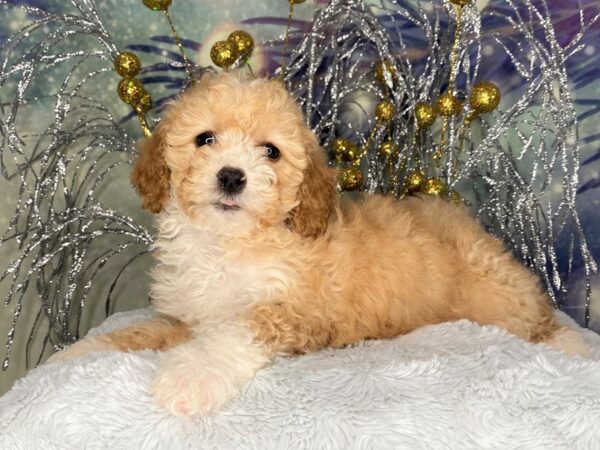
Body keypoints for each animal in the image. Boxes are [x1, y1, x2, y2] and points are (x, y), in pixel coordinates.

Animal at [50, 71, 584, 414]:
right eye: (204, 139)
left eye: (270, 151)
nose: (232, 176)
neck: (230, 243)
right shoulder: (188, 314)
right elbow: (142, 332)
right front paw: (76, 357)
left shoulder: (294, 312)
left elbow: (234, 334)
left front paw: (189, 377)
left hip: (500, 306)